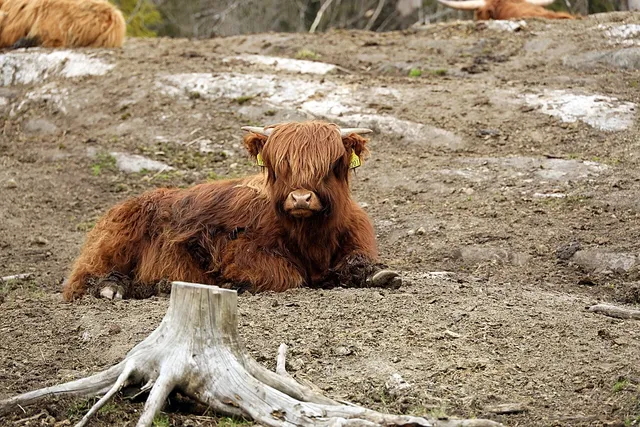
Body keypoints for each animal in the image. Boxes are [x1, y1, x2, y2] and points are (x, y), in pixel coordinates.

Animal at [62, 121, 402, 301]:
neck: (312, 237)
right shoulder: (240, 248)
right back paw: (113, 287)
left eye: (330, 165)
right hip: (114, 244)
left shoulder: (356, 239)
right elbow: (287, 274)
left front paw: (379, 274)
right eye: (280, 166)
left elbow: (361, 262)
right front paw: (232, 284)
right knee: (83, 280)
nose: (301, 198)